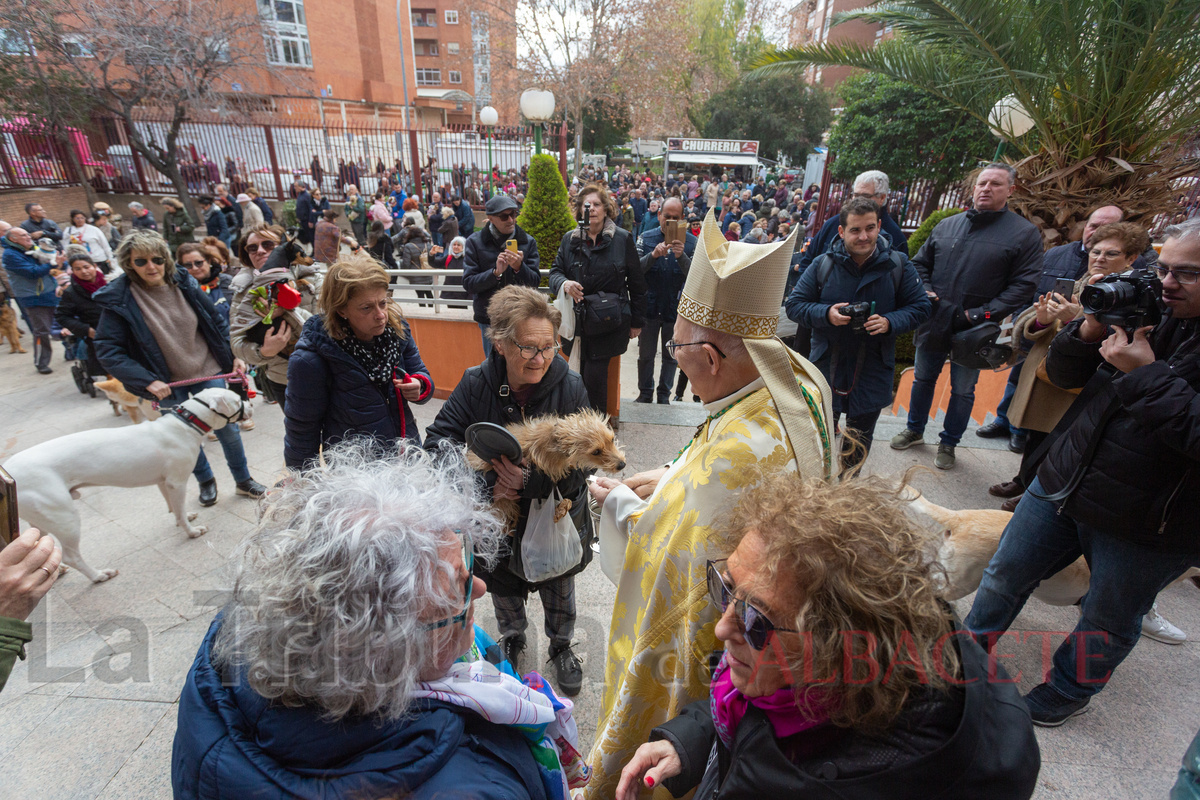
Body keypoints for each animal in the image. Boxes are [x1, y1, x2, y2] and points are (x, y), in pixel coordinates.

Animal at [4, 388, 253, 582]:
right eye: (236, 399)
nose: (250, 402)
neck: (186, 423)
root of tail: (8, 470)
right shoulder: (177, 482)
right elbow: (180, 511)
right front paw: (191, 532)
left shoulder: (164, 482)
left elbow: (175, 508)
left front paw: (182, 517)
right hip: (64, 517)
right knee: (72, 555)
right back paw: (98, 575)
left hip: (41, 518)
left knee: (39, 541)